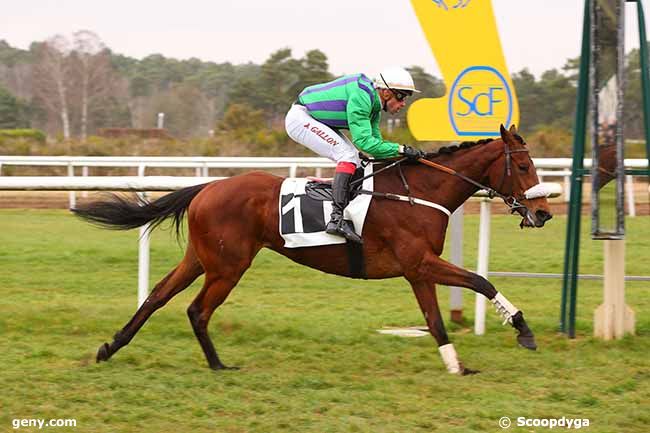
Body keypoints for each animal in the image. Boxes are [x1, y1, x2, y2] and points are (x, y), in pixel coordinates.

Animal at [74, 123, 552, 372]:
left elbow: (436, 319)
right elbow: (480, 281)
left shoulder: (418, 269)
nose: (544, 213)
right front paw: (523, 331)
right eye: (523, 166)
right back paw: (217, 364)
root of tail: (207, 187)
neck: (418, 191)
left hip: (201, 258)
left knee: (157, 295)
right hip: (228, 265)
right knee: (197, 309)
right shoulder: (420, 262)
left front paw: (457, 364)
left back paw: (111, 347)